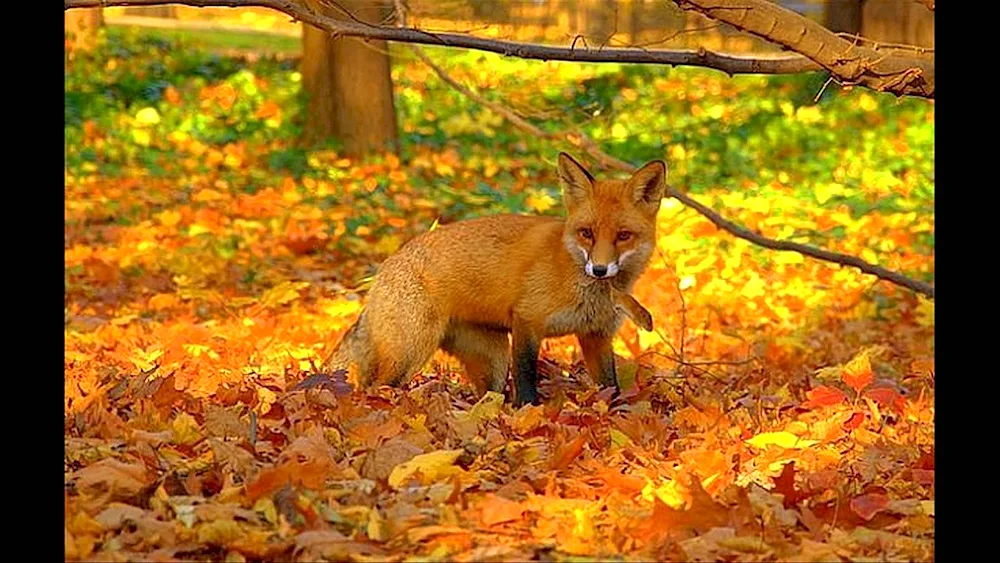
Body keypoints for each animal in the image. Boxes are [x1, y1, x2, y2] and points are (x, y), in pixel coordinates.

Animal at [326, 154, 664, 406]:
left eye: (623, 236)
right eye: (587, 233)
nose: (600, 269)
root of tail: (383, 268)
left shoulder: (596, 335)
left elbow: (610, 386)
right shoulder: (528, 319)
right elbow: (526, 378)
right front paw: (528, 413)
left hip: (493, 360)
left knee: (487, 395)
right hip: (410, 351)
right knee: (375, 387)